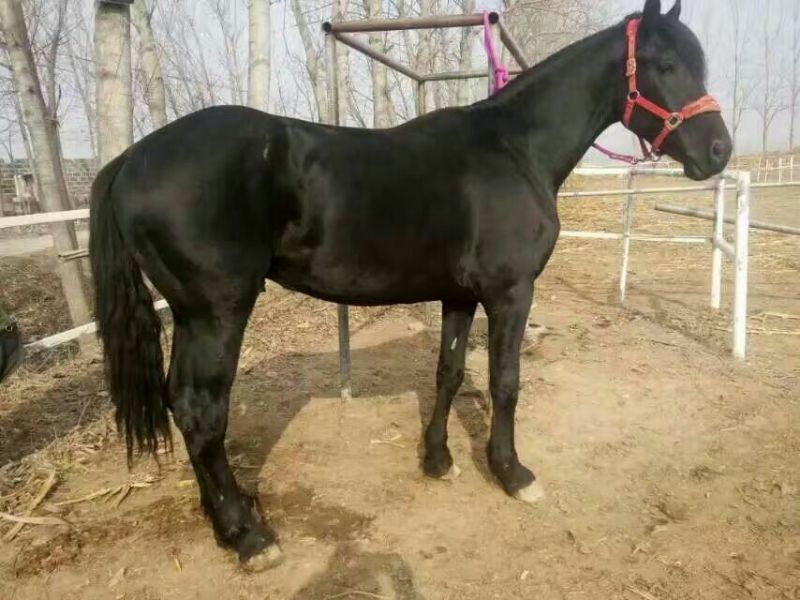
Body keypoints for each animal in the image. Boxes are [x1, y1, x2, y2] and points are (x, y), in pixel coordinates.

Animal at [89, 0, 731, 570]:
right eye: (665, 63)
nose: (719, 150)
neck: (514, 150)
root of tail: (130, 159)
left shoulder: (460, 295)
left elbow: (448, 372)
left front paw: (438, 459)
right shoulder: (510, 293)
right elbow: (504, 383)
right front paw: (512, 473)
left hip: (191, 315)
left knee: (182, 403)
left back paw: (230, 513)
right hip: (217, 312)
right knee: (201, 412)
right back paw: (247, 537)